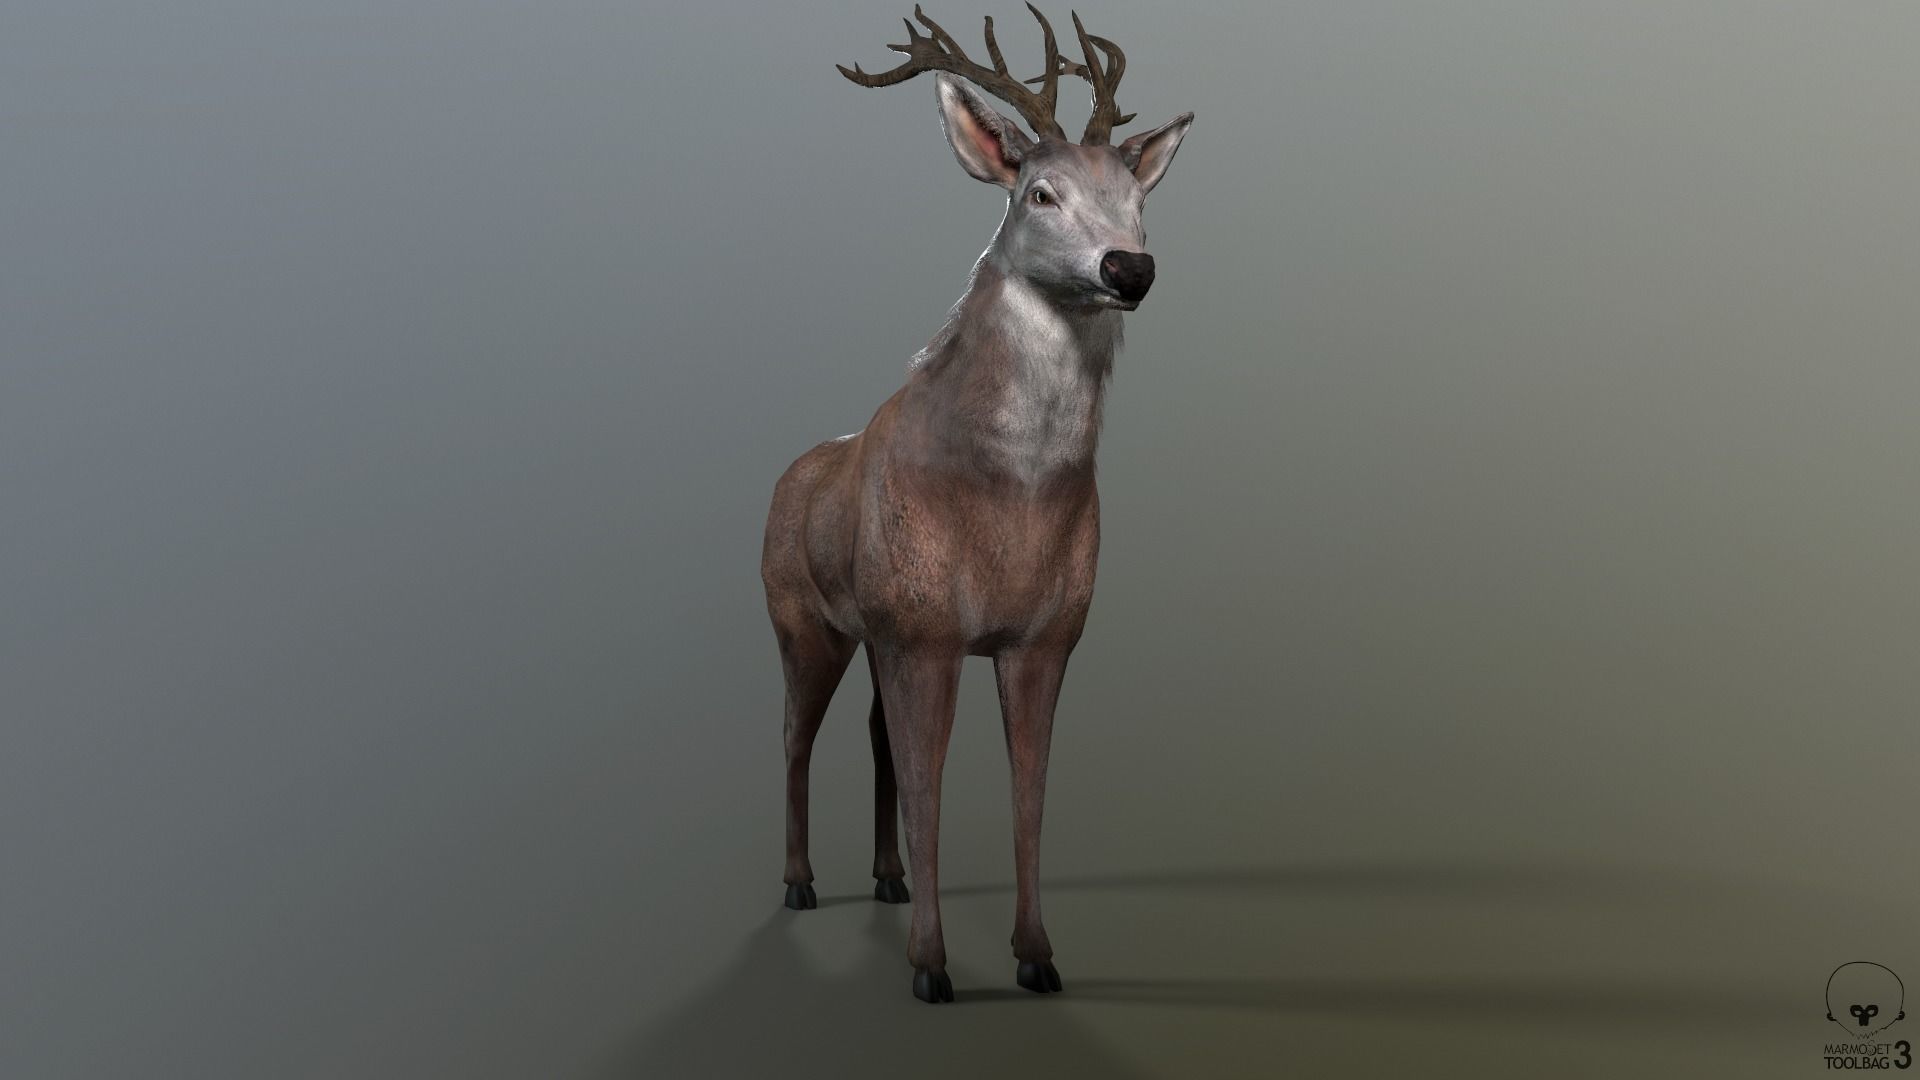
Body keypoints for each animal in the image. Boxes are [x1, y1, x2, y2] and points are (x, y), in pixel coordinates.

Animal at [760, 4, 1193, 1004]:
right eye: (1039, 193)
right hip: (803, 620)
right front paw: (930, 966)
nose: (1131, 268)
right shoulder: (921, 628)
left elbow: (1027, 792)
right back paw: (800, 883)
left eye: (1138, 198)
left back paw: (886, 879)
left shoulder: (1044, 636)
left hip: (870, 633)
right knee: (797, 733)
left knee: (873, 735)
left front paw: (1037, 954)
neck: (1012, 505)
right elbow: (931, 788)